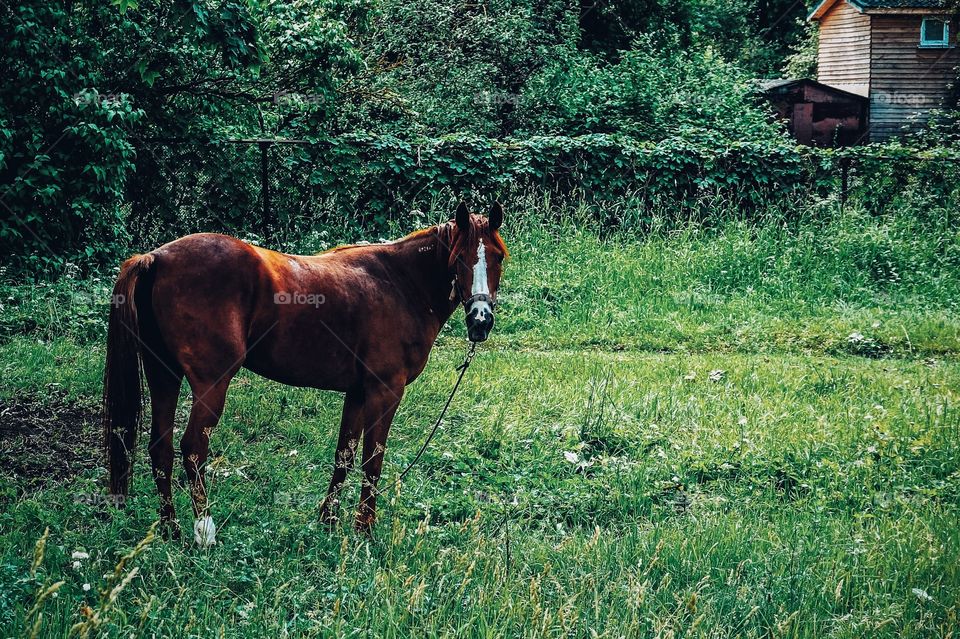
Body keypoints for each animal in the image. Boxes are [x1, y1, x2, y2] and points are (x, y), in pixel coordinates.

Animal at [103, 202, 507, 543]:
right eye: (459, 258)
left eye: (498, 256)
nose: (481, 321)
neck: (399, 283)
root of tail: (156, 257)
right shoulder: (385, 391)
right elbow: (372, 460)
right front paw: (363, 530)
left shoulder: (358, 392)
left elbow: (345, 455)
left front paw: (328, 521)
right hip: (210, 383)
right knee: (192, 449)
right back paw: (204, 531)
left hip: (164, 376)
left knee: (161, 447)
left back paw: (170, 528)